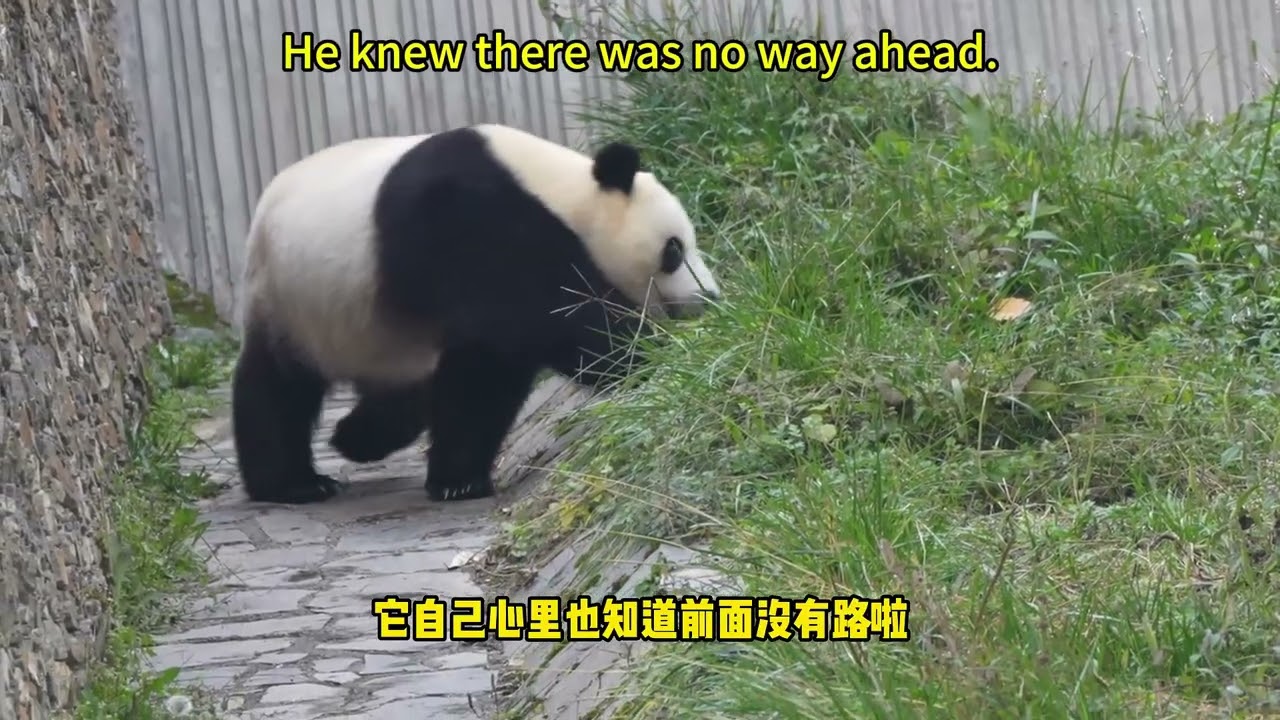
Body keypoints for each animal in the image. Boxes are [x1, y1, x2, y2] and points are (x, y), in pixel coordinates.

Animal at [231, 123, 722, 506]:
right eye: (674, 250)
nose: (713, 298)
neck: (559, 193)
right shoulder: (470, 222)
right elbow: (545, 330)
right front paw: (649, 356)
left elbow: (492, 372)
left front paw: (457, 477)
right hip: (292, 301)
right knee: (277, 388)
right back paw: (293, 484)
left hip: (376, 331)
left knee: (400, 392)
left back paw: (356, 438)